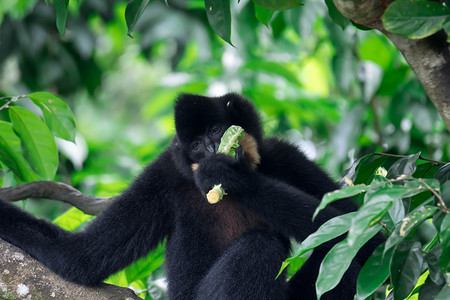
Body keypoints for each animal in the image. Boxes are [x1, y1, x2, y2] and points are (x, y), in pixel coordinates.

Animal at [0, 93, 382, 298]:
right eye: (197, 145)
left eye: (216, 130)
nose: (213, 149)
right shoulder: (163, 176)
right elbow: (81, 256)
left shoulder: (282, 156)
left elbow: (363, 229)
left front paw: (231, 177)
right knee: (259, 248)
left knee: (342, 259)